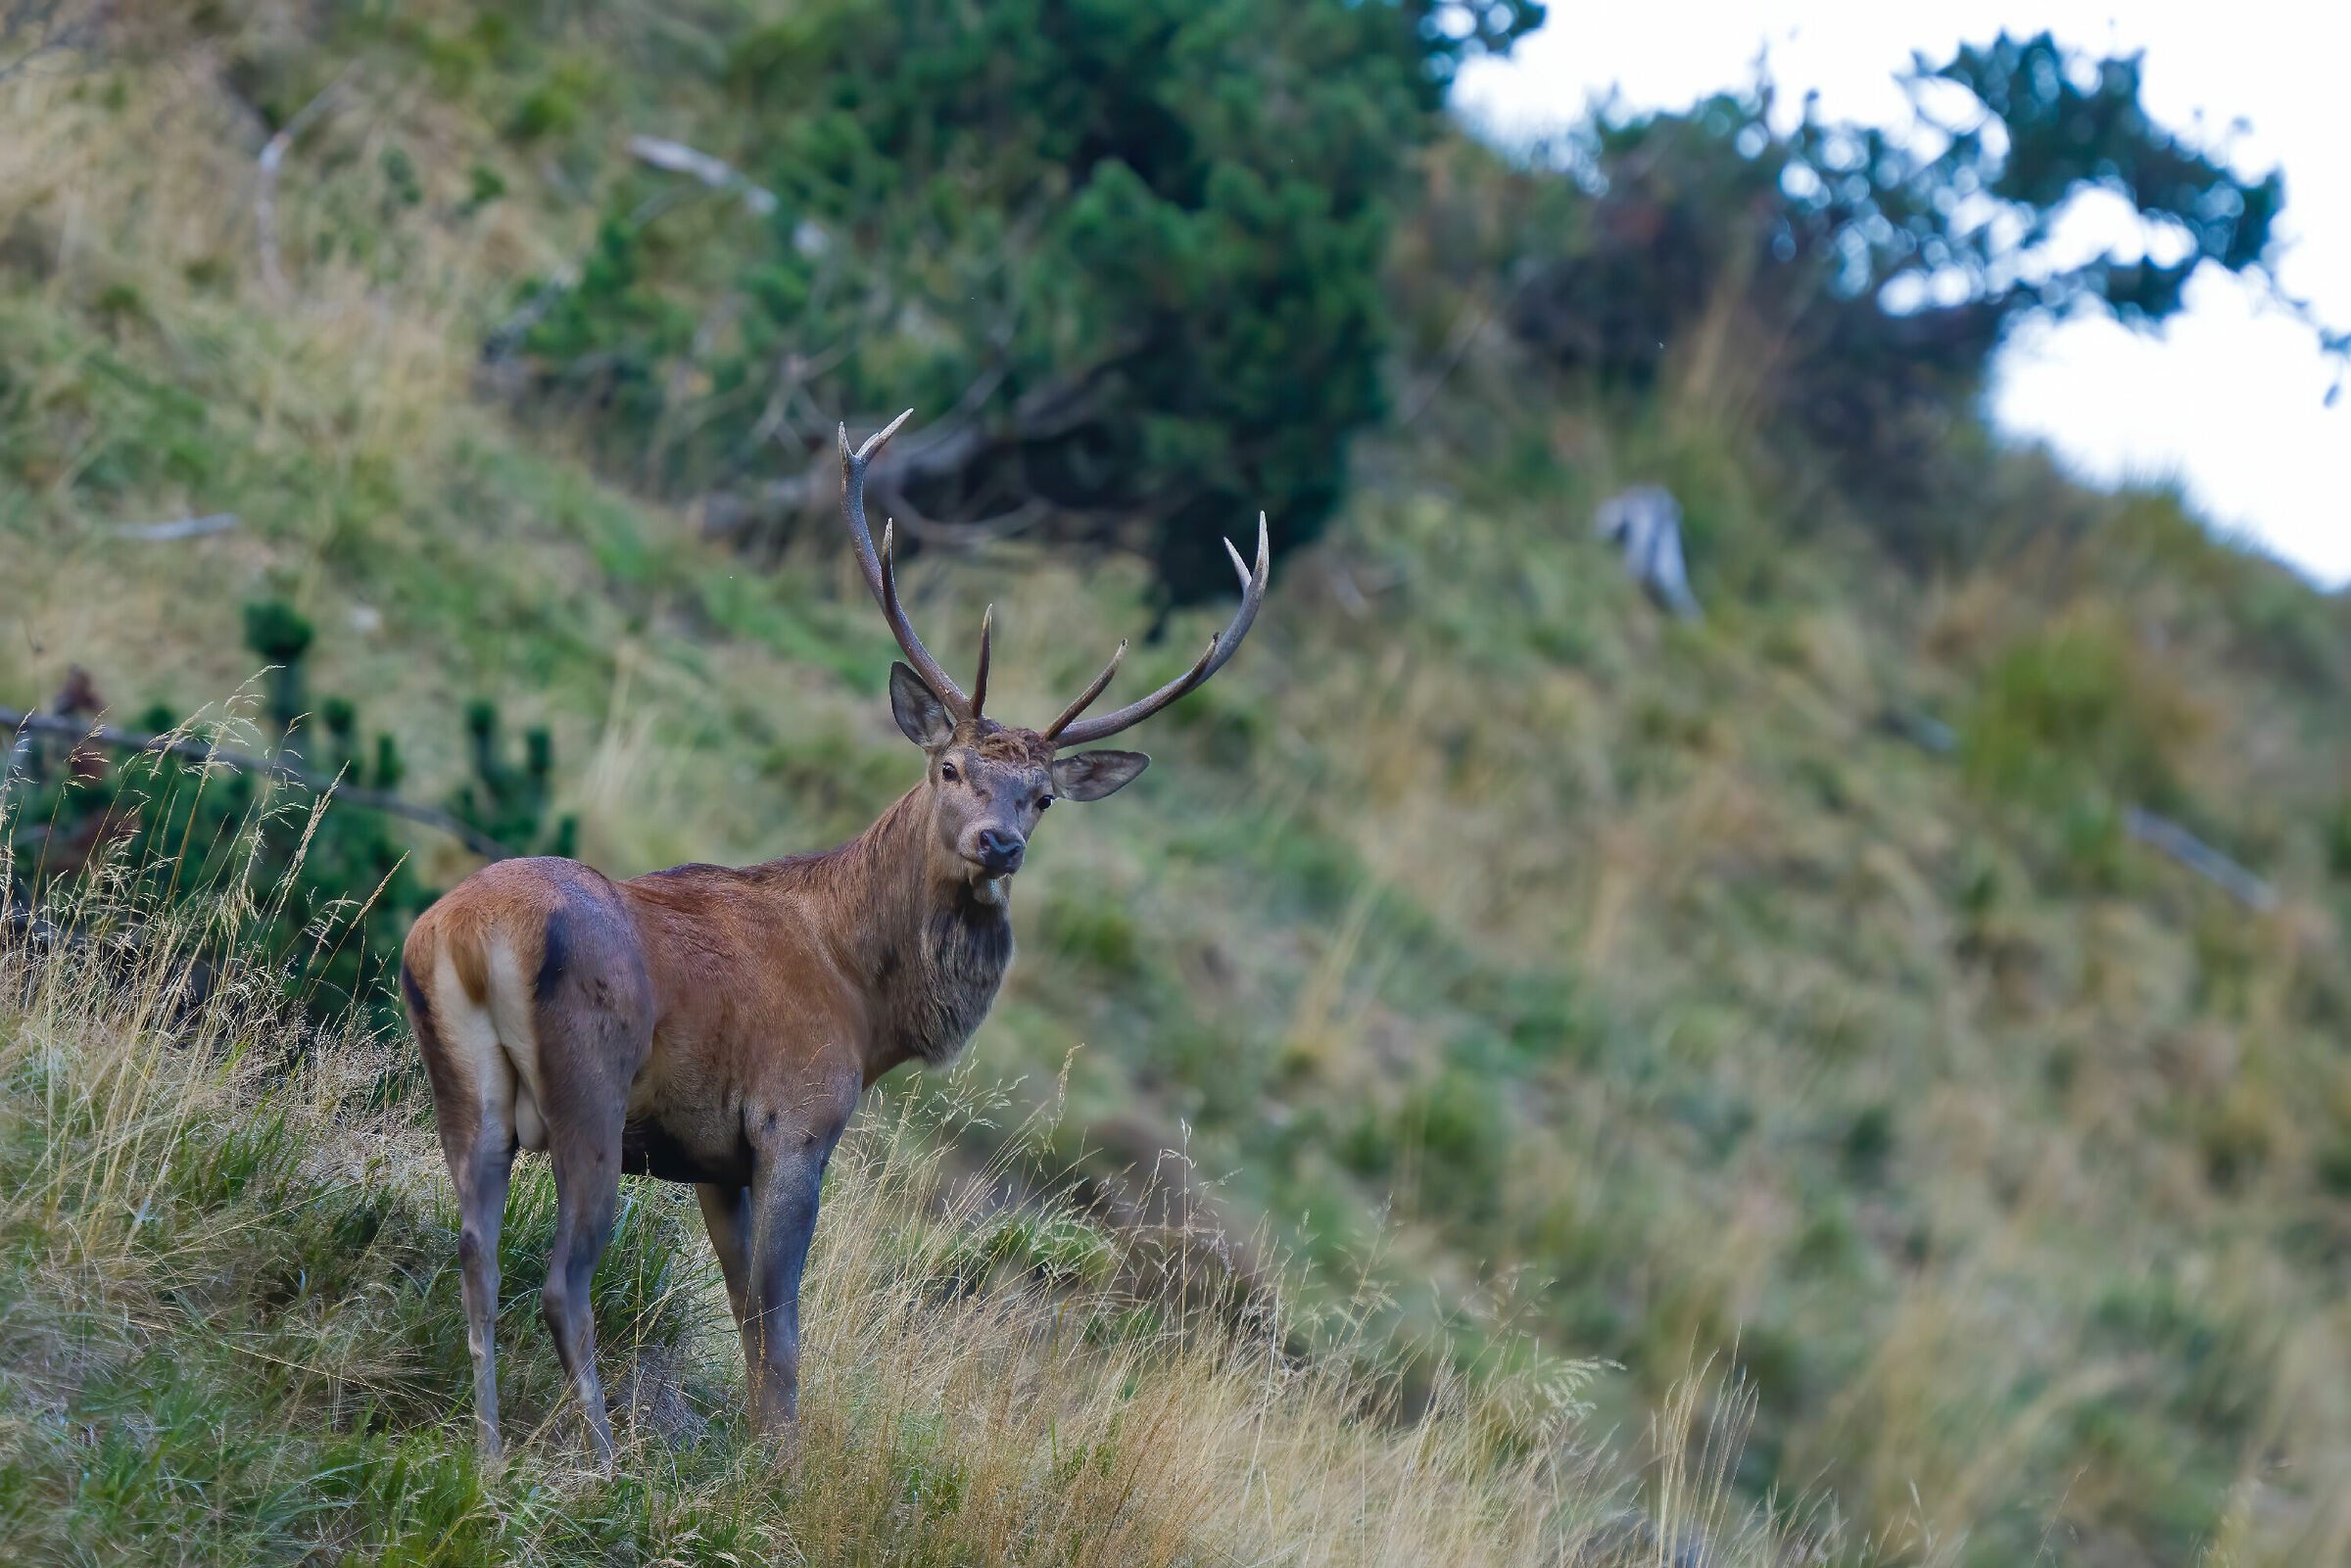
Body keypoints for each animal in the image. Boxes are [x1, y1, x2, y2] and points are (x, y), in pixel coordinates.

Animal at [399, 409, 1268, 1466]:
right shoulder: (794, 1122)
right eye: (950, 766)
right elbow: (782, 1328)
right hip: (591, 1083)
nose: (1000, 843)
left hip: (464, 1083)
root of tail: (471, 932)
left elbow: (743, 1318)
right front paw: (776, 1467)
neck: (863, 999)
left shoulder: (713, 1160)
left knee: (474, 1251)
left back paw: (485, 1455)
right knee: (563, 1279)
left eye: (1043, 794)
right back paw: (603, 1462)